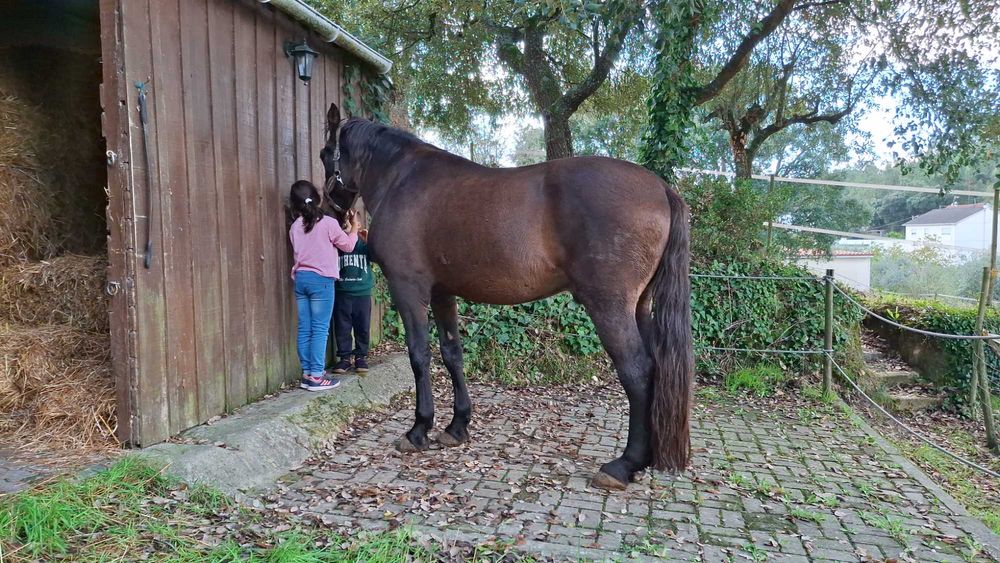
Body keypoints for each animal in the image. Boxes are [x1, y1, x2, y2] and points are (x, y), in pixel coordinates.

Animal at [320, 103, 693, 490]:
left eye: (324, 153)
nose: (328, 209)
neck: (401, 177)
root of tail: (661, 188)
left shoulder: (409, 290)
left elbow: (419, 356)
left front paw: (418, 430)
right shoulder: (442, 293)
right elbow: (452, 354)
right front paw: (456, 427)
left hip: (610, 307)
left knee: (637, 370)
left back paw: (623, 464)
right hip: (640, 307)